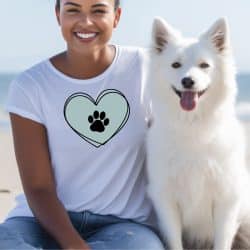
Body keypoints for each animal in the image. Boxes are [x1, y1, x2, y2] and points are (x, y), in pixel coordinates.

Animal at [146, 16, 250, 249]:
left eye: (204, 65)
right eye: (176, 65)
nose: (187, 81)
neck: (192, 125)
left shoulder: (226, 199)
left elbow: (222, 242)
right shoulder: (166, 199)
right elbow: (175, 242)